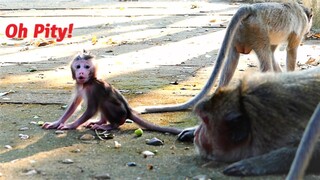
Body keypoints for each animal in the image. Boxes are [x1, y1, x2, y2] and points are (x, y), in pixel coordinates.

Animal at [42, 51, 181, 134]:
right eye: (78, 66)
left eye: (86, 67)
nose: (81, 72)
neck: (88, 82)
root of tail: (128, 112)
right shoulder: (79, 86)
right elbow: (74, 105)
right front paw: (57, 122)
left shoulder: (94, 89)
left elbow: (91, 109)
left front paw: (71, 125)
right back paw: (100, 122)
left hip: (120, 113)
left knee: (105, 103)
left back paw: (111, 125)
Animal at [137, 1, 312, 114]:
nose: (309, 29)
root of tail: (250, 8)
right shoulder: (298, 29)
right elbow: (290, 50)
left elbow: (273, 53)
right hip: (257, 31)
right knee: (264, 61)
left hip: (240, 33)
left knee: (231, 62)